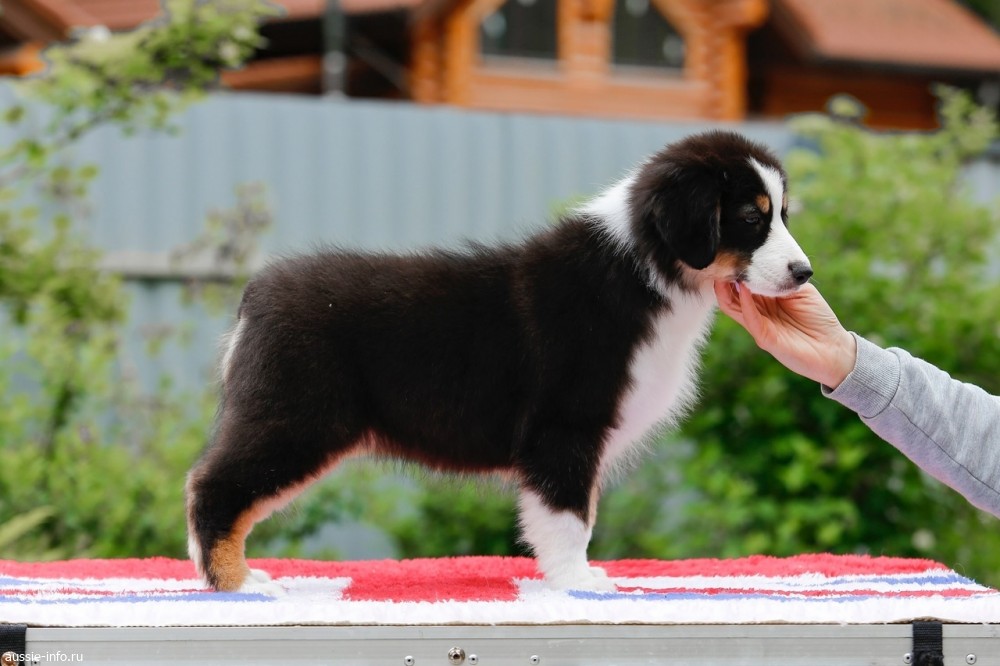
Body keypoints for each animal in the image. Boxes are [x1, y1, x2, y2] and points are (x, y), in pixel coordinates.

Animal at [186, 130, 813, 595]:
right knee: (212, 484)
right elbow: (569, 517)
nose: (804, 273)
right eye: (750, 218)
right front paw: (579, 581)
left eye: (782, 213)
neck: (645, 269)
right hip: (298, 417)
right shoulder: (565, 427)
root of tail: (256, 293)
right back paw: (237, 582)